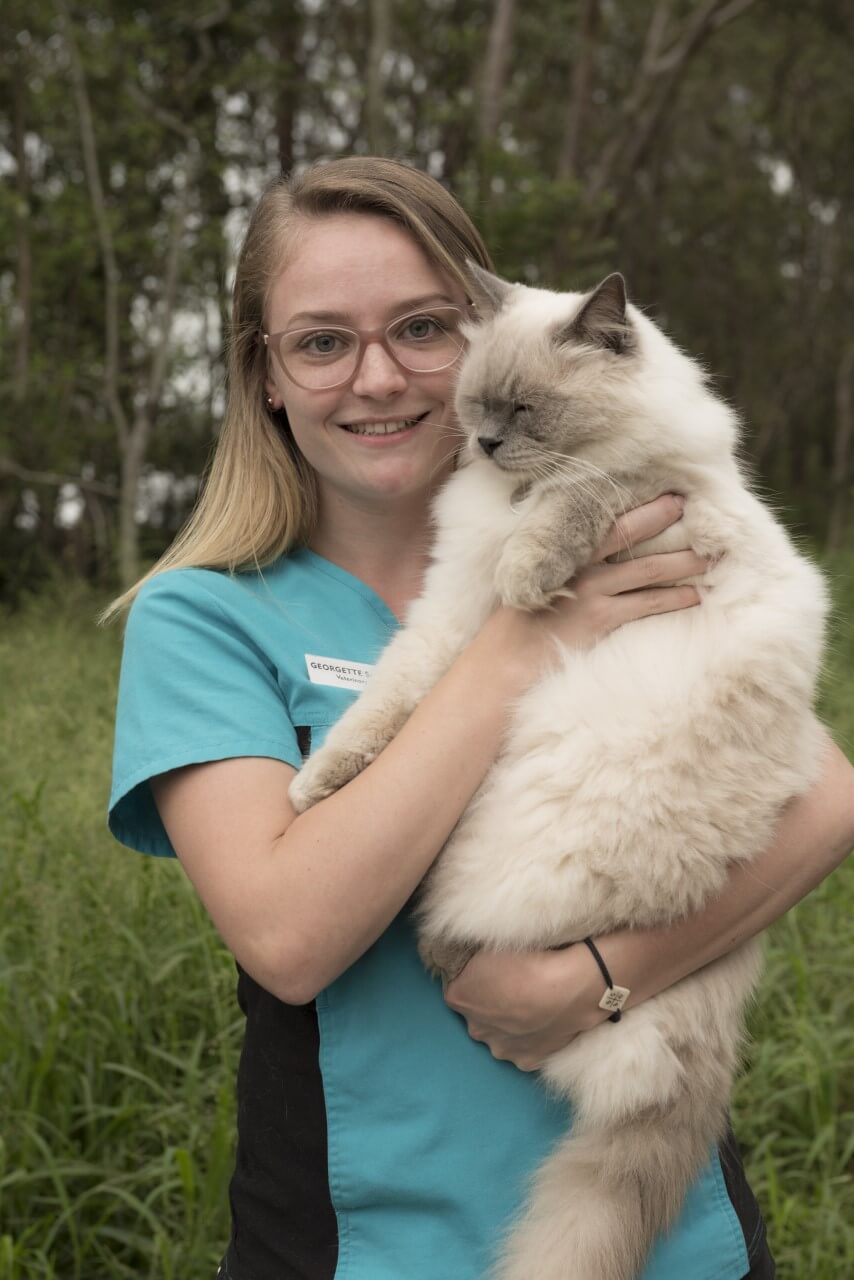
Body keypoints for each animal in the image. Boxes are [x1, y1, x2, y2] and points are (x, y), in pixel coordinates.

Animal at [289, 262, 829, 1280]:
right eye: (476, 406)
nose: (489, 446)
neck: (508, 502)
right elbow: (377, 717)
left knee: (453, 938)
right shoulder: (446, 624)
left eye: (528, 410)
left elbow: (591, 490)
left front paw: (531, 570)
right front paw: (314, 789)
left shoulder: (657, 492)